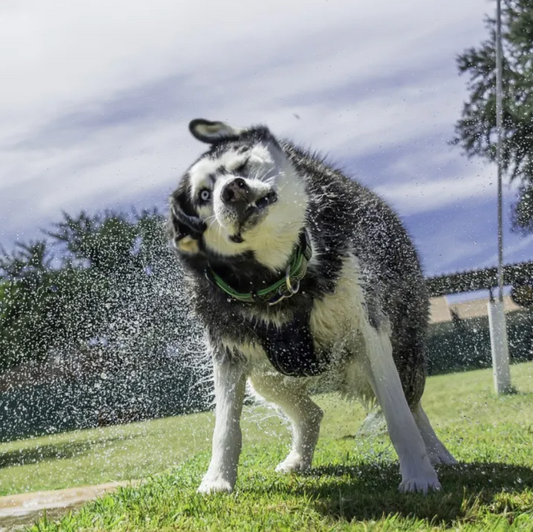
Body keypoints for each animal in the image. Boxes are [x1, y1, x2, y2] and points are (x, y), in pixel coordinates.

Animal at [168, 119, 456, 494]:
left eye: (240, 166)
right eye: (203, 195)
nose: (232, 190)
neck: (277, 281)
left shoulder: (367, 330)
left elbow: (398, 415)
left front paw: (419, 477)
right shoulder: (227, 350)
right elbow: (226, 427)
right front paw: (217, 481)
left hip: (403, 348)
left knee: (413, 403)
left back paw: (438, 453)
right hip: (266, 376)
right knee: (311, 412)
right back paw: (298, 460)